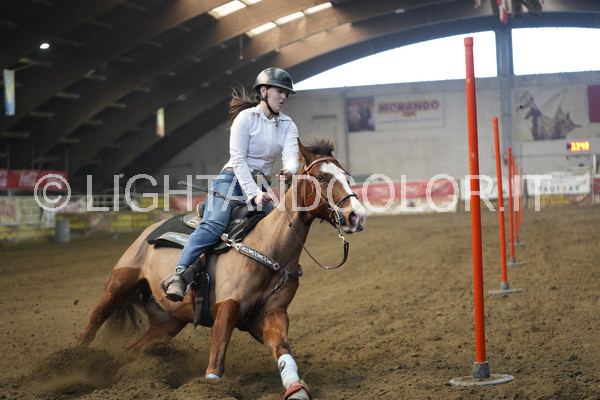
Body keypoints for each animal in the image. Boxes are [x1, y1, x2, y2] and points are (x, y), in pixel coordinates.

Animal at [76, 138, 367, 400]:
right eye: (321, 177)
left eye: (346, 176)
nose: (357, 215)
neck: (269, 249)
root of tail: (151, 228)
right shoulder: (226, 308)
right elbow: (217, 359)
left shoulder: (272, 314)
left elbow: (282, 349)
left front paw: (296, 389)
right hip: (120, 284)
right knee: (94, 321)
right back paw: (75, 358)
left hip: (167, 323)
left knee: (133, 349)